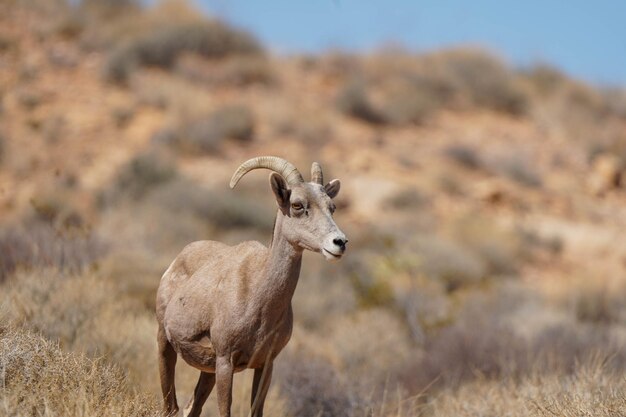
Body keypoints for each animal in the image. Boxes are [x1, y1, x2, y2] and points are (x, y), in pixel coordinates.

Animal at [153, 156, 344, 416]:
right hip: (165, 344)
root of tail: (176, 262)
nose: (339, 243)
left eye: (331, 207)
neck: (258, 298)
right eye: (297, 205)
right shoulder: (226, 362)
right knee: (170, 406)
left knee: (192, 408)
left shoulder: (265, 365)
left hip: (207, 371)